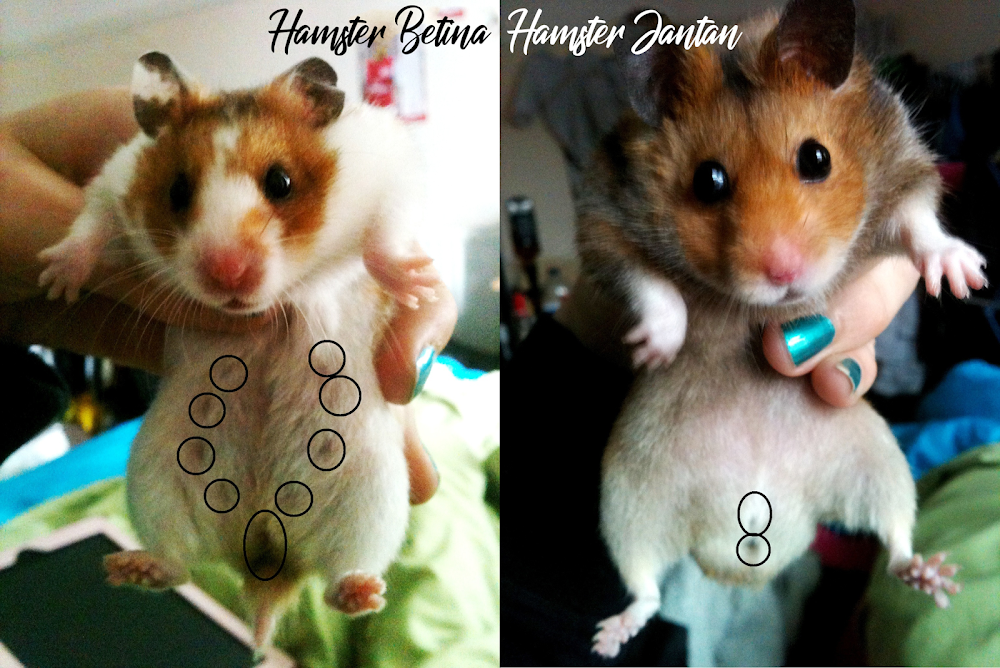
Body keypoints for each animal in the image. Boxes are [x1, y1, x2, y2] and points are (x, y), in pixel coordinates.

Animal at [38, 53, 437, 647]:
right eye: (178, 191)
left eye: (281, 181)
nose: (227, 274)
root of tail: (265, 559)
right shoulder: (113, 181)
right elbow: (90, 226)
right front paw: (56, 281)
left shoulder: (391, 166)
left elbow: (384, 237)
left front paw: (416, 283)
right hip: (157, 477)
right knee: (180, 563)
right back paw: (133, 567)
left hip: (373, 493)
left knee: (337, 577)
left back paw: (361, 592)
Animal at [577, 0, 986, 658]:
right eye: (708, 180)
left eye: (816, 158)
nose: (784, 273)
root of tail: (740, 564)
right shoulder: (603, 221)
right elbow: (650, 284)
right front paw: (655, 347)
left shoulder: (903, 167)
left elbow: (919, 224)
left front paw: (962, 275)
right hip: (628, 501)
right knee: (646, 588)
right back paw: (610, 639)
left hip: (879, 463)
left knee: (895, 541)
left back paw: (936, 578)